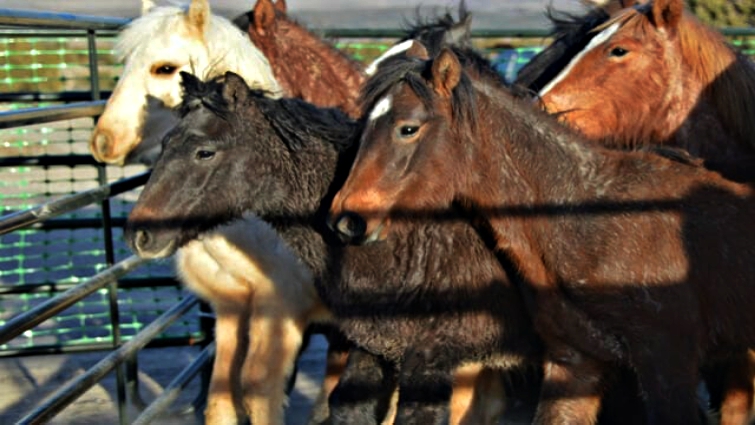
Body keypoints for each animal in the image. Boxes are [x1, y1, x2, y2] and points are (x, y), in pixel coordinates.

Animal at [123, 70, 548, 425]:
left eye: (205, 151)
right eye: (166, 143)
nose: (140, 234)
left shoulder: (432, 356)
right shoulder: (373, 344)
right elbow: (344, 404)